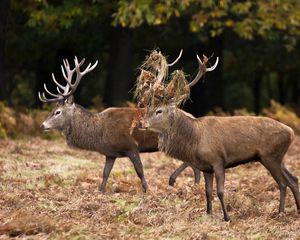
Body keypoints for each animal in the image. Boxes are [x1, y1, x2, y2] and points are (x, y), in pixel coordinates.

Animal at [38, 54, 200, 193]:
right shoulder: (110, 153)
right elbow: (105, 173)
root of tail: (192, 117)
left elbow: (140, 171)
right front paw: (101, 191)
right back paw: (194, 185)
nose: (42, 125)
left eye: (57, 112)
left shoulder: (131, 146)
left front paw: (147, 190)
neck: (100, 133)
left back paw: (174, 180)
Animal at [136, 52, 300, 221]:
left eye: (159, 111)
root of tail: (291, 132)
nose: (140, 123)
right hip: (278, 158)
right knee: (293, 179)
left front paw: (227, 217)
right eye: (148, 107)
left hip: (270, 157)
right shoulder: (206, 167)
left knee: (283, 183)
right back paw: (297, 210)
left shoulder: (218, 161)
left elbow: (220, 191)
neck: (195, 137)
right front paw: (208, 214)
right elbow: (207, 191)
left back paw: (280, 213)